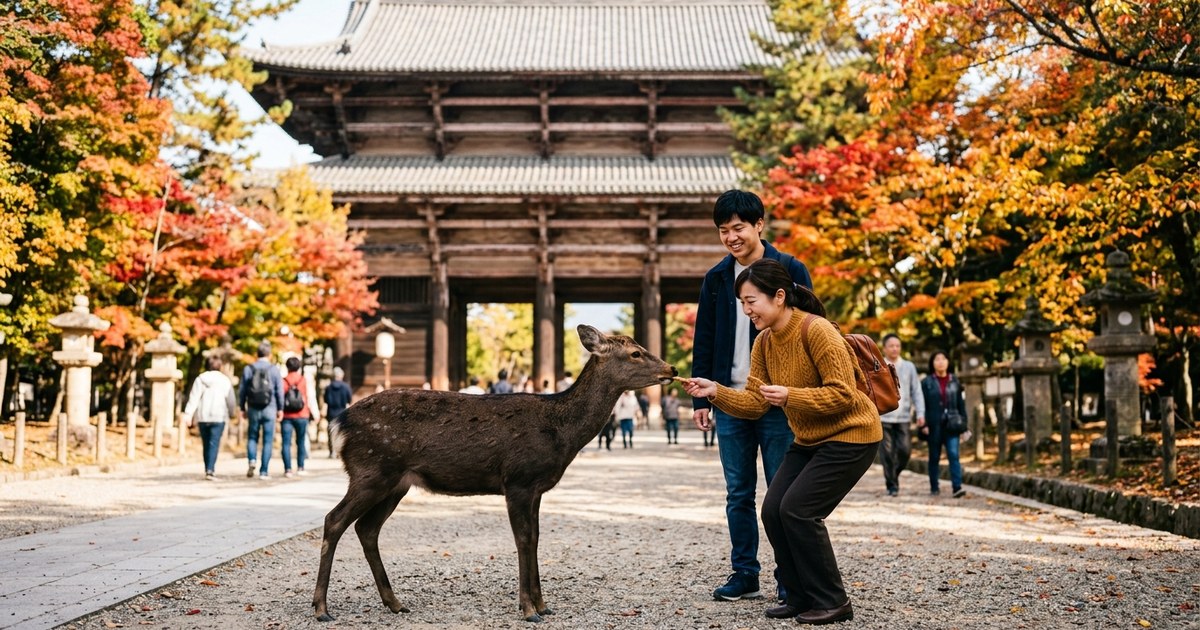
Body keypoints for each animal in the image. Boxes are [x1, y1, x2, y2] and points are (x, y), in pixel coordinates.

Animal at [312, 324, 678, 623]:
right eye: (635, 352)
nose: (672, 368)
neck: (562, 433)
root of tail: (338, 423)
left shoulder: (536, 488)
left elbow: (536, 538)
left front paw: (543, 605)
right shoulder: (518, 479)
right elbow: (523, 540)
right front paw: (529, 610)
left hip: (396, 482)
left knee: (366, 528)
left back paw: (395, 603)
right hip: (371, 470)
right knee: (334, 519)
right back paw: (321, 608)